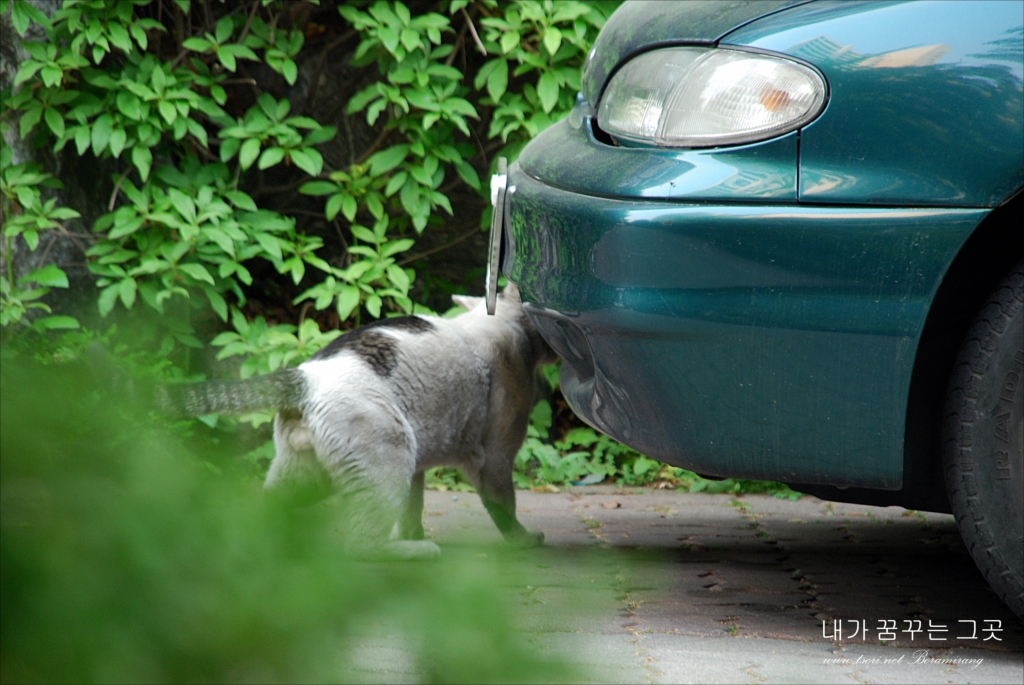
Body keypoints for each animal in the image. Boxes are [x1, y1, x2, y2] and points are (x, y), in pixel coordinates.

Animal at [157, 280, 552, 557]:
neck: (502, 323)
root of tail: (303, 377)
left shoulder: (419, 465)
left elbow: (412, 508)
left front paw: (411, 532)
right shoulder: (494, 456)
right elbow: (503, 505)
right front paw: (523, 539)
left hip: (311, 472)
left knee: (267, 508)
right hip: (390, 451)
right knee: (359, 543)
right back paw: (415, 551)